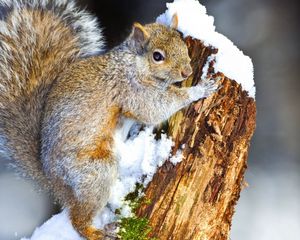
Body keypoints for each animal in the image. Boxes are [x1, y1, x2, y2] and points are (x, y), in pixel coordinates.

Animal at [0, 0, 217, 240]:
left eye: (182, 42)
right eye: (157, 56)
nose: (187, 71)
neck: (133, 63)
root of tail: (54, 183)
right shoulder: (132, 90)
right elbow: (154, 107)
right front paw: (198, 90)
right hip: (95, 172)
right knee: (78, 219)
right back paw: (97, 232)